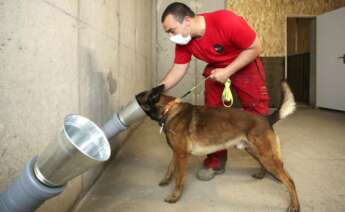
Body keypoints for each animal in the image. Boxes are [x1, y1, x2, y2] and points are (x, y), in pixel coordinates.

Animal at [134, 80, 298, 211]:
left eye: (139, 97)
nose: (133, 96)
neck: (168, 109)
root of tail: (266, 119)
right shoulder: (177, 152)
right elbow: (170, 167)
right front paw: (166, 180)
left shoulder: (181, 155)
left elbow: (179, 178)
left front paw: (175, 196)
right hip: (255, 151)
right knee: (268, 166)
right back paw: (261, 174)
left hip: (266, 155)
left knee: (289, 180)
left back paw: (295, 205)